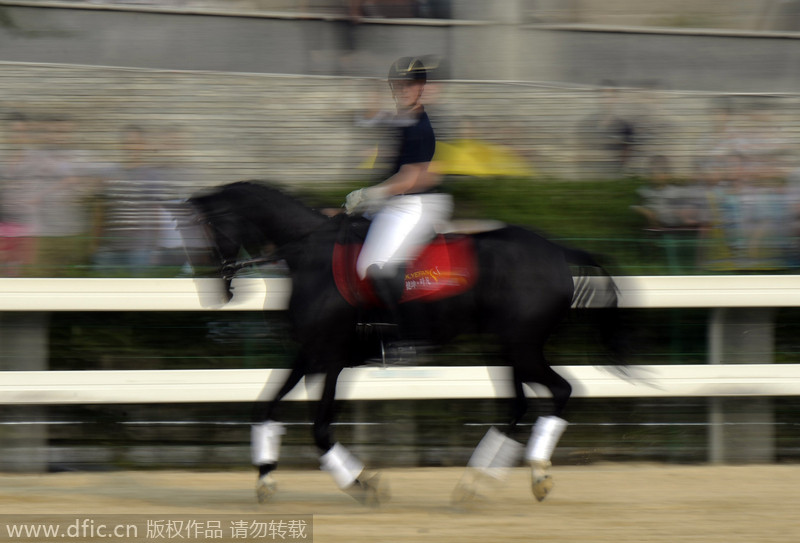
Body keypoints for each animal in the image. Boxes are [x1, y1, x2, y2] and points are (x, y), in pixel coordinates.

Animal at [189, 180, 624, 506]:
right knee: (518, 404)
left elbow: (320, 428)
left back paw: (536, 473)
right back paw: (476, 483)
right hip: (506, 347)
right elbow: (264, 407)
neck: (310, 254)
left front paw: (363, 483)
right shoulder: (309, 354)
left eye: (211, 226)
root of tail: (557, 250)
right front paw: (265, 477)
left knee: (561, 390)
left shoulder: (329, 358)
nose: (218, 286)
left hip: (522, 346)